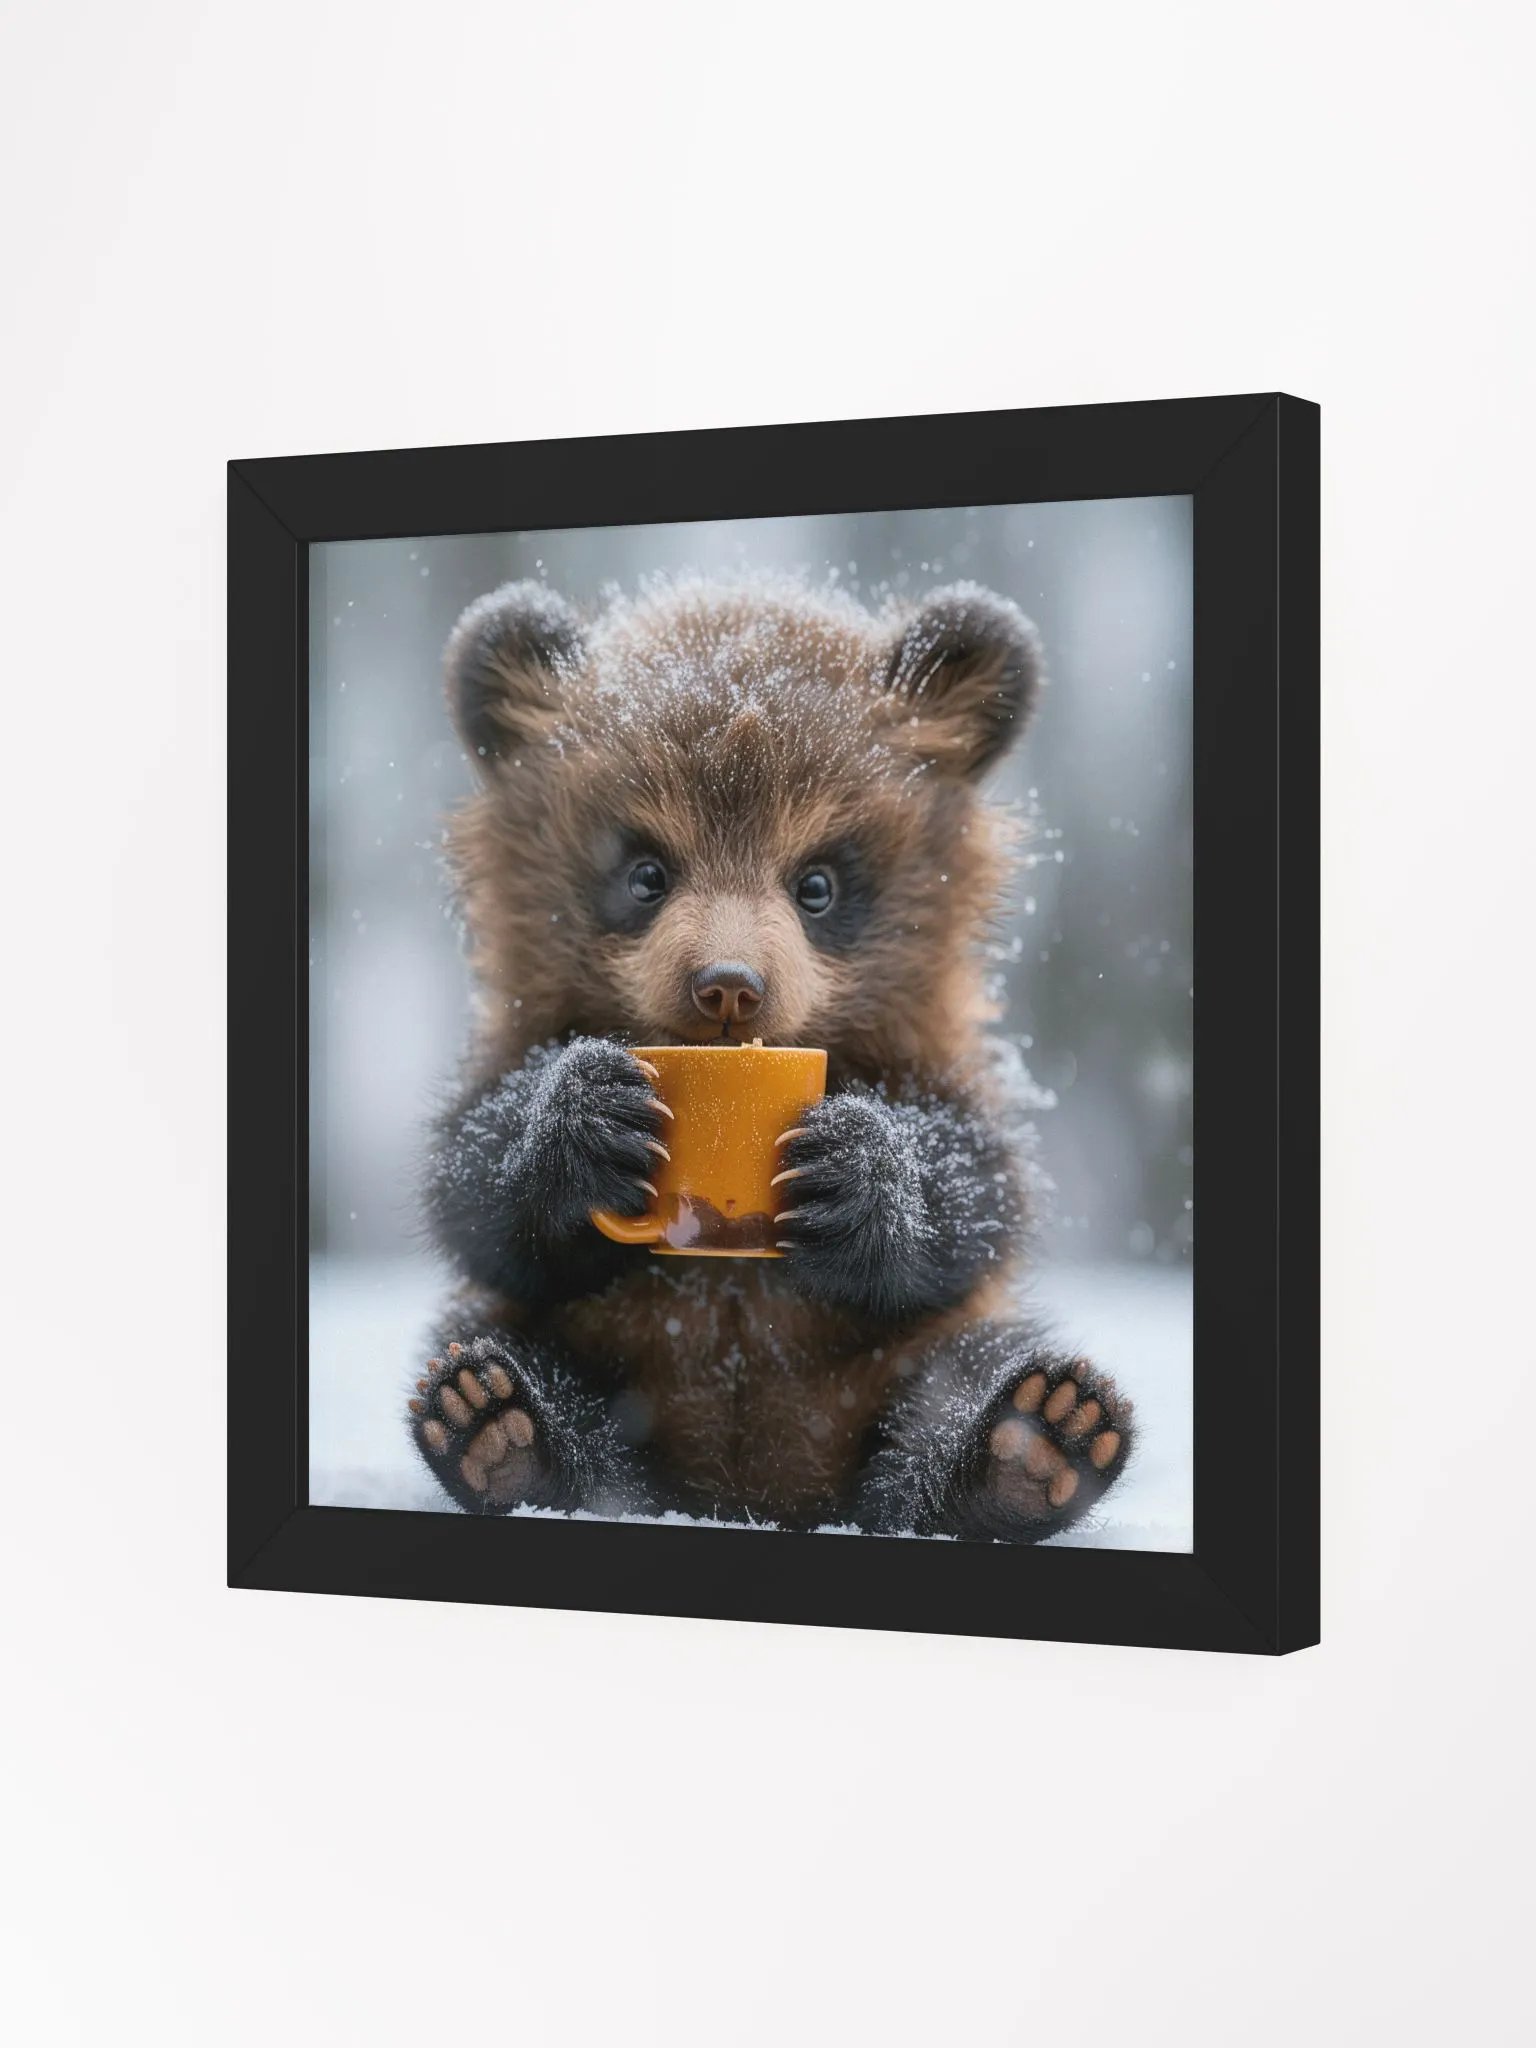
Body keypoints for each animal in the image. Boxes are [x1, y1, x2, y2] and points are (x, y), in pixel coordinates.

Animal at [407, 573, 1132, 1541]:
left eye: (816, 883)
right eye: (646, 874)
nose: (728, 987)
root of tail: (753, 1491)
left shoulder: (939, 1049)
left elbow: (978, 1182)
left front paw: (857, 1166)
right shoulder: (516, 1033)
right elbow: (474, 1182)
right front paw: (583, 1117)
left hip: (888, 1366)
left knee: (962, 1373)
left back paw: (1031, 1445)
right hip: (596, 1350)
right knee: (510, 1349)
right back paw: (503, 1429)